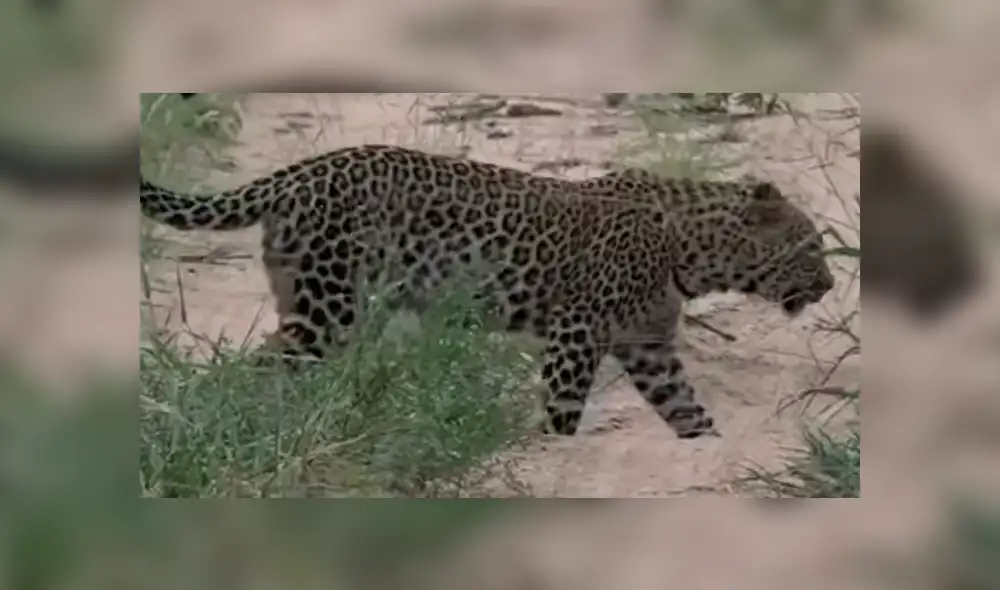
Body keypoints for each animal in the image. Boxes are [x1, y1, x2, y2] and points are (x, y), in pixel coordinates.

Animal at [140, 144, 834, 438]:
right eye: (811, 248)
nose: (830, 285)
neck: (689, 249)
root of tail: (296, 173)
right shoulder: (576, 333)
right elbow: (562, 412)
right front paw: (554, 448)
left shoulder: (649, 349)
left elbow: (688, 411)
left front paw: (710, 449)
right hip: (327, 310)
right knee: (256, 370)